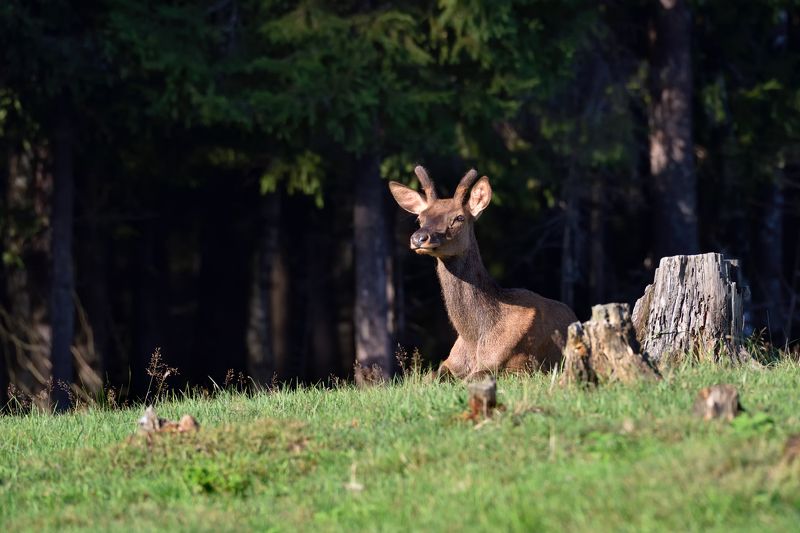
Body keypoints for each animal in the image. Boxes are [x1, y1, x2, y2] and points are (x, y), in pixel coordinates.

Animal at [389, 166, 578, 381]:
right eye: (420, 218)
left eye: (459, 218)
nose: (419, 238)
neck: (473, 338)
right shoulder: (450, 362)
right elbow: (429, 377)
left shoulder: (523, 365)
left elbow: (472, 378)